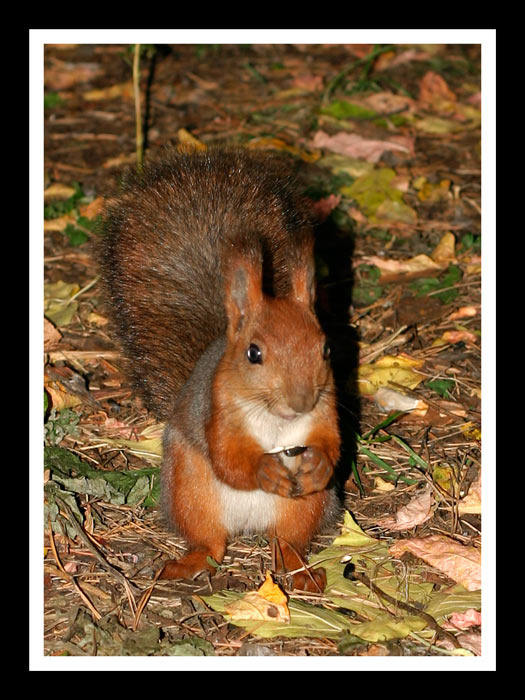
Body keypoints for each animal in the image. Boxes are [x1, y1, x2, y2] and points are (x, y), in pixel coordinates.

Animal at [99, 148, 341, 592]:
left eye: (326, 348)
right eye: (253, 353)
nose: (300, 401)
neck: (277, 421)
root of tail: (248, 526)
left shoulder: (326, 409)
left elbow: (332, 444)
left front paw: (318, 465)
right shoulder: (218, 412)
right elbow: (229, 460)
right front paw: (264, 469)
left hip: (304, 508)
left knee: (286, 543)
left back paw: (301, 572)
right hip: (190, 490)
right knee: (210, 542)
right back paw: (188, 564)